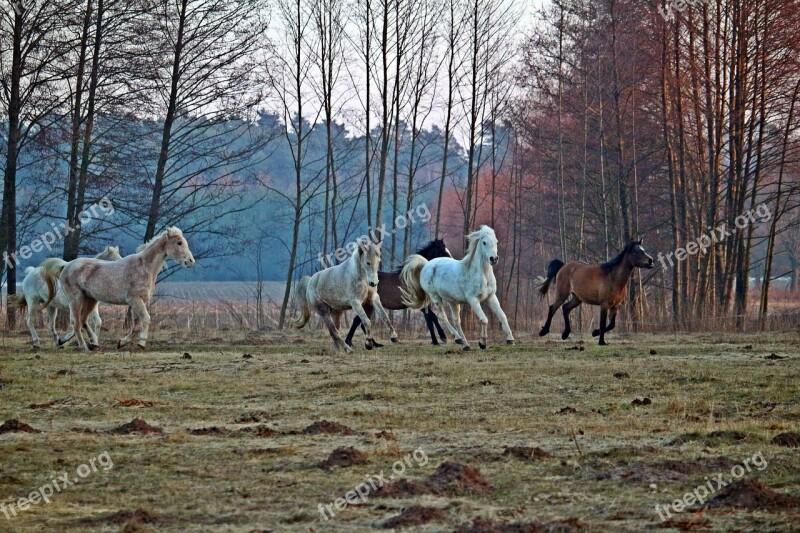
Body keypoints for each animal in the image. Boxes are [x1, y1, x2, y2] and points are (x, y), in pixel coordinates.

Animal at [41, 227, 196, 352]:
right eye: (179, 243)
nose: (190, 262)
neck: (144, 267)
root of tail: (65, 266)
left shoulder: (138, 302)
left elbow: (136, 325)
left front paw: (122, 342)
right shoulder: (135, 300)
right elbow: (146, 319)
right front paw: (141, 344)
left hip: (90, 300)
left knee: (83, 321)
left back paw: (85, 343)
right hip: (76, 299)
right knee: (76, 322)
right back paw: (84, 347)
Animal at [398, 223, 512, 352]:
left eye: (496, 241)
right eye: (484, 242)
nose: (494, 259)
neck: (481, 275)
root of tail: (426, 264)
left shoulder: (491, 297)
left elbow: (502, 316)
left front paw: (510, 339)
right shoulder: (473, 300)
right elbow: (484, 319)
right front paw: (482, 343)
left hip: (453, 302)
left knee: (456, 321)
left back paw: (465, 344)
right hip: (435, 297)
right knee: (442, 316)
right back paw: (457, 338)